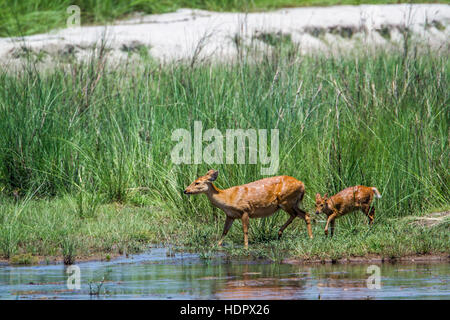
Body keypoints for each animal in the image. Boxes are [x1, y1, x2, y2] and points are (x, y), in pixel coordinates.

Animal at [183, 169, 312, 249]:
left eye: (197, 182)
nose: (185, 190)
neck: (227, 197)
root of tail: (302, 184)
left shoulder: (245, 210)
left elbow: (245, 230)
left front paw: (246, 247)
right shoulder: (230, 215)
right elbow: (225, 231)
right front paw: (217, 245)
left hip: (286, 200)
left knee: (301, 214)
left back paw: (309, 237)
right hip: (291, 203)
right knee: (302, 214)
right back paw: (282, 233)